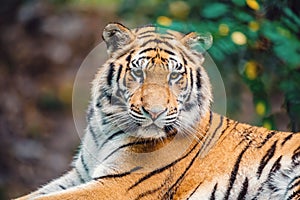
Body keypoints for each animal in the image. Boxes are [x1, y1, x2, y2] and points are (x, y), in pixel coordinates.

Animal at [17, 22, 300, 199]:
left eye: (174, 75)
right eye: (138, 72)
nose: (155, 112)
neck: (105, 126)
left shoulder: (116, 185)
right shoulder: (80, 174)